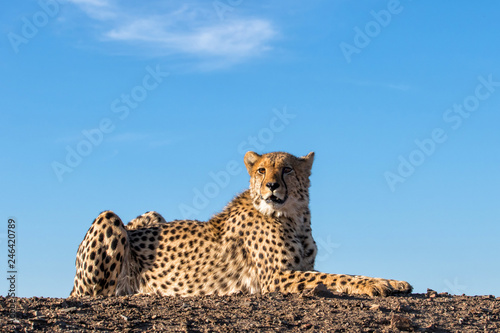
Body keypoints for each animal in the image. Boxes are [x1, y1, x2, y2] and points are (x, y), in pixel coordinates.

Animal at [71, 150, 414, 296]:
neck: (294, 217)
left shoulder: (299, 267)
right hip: (109, 220)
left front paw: (393, 281)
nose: (272, 186)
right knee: (100, 293)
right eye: (261, 170)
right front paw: (377, 284)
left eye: (287, 169)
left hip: (154, 215)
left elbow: (338, 273)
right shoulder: (275, 277)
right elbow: (337, 276)